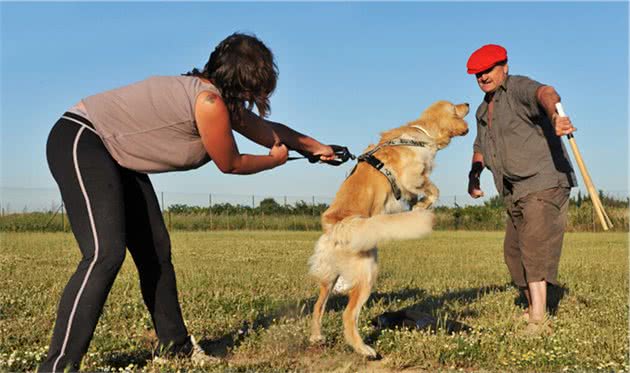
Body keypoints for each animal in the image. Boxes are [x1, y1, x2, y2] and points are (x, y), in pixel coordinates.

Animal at [306, 100, 470, 356]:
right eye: (456, 106)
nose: (468, 103)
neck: (421, 133)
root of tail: (334, 226)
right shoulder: (413, 177)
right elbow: (434, 189)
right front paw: (422, 205)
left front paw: (417, 204)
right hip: (367, 272)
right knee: (348, 316)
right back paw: (365, 350)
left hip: (329, 279)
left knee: (317, 306)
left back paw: (317, 337)